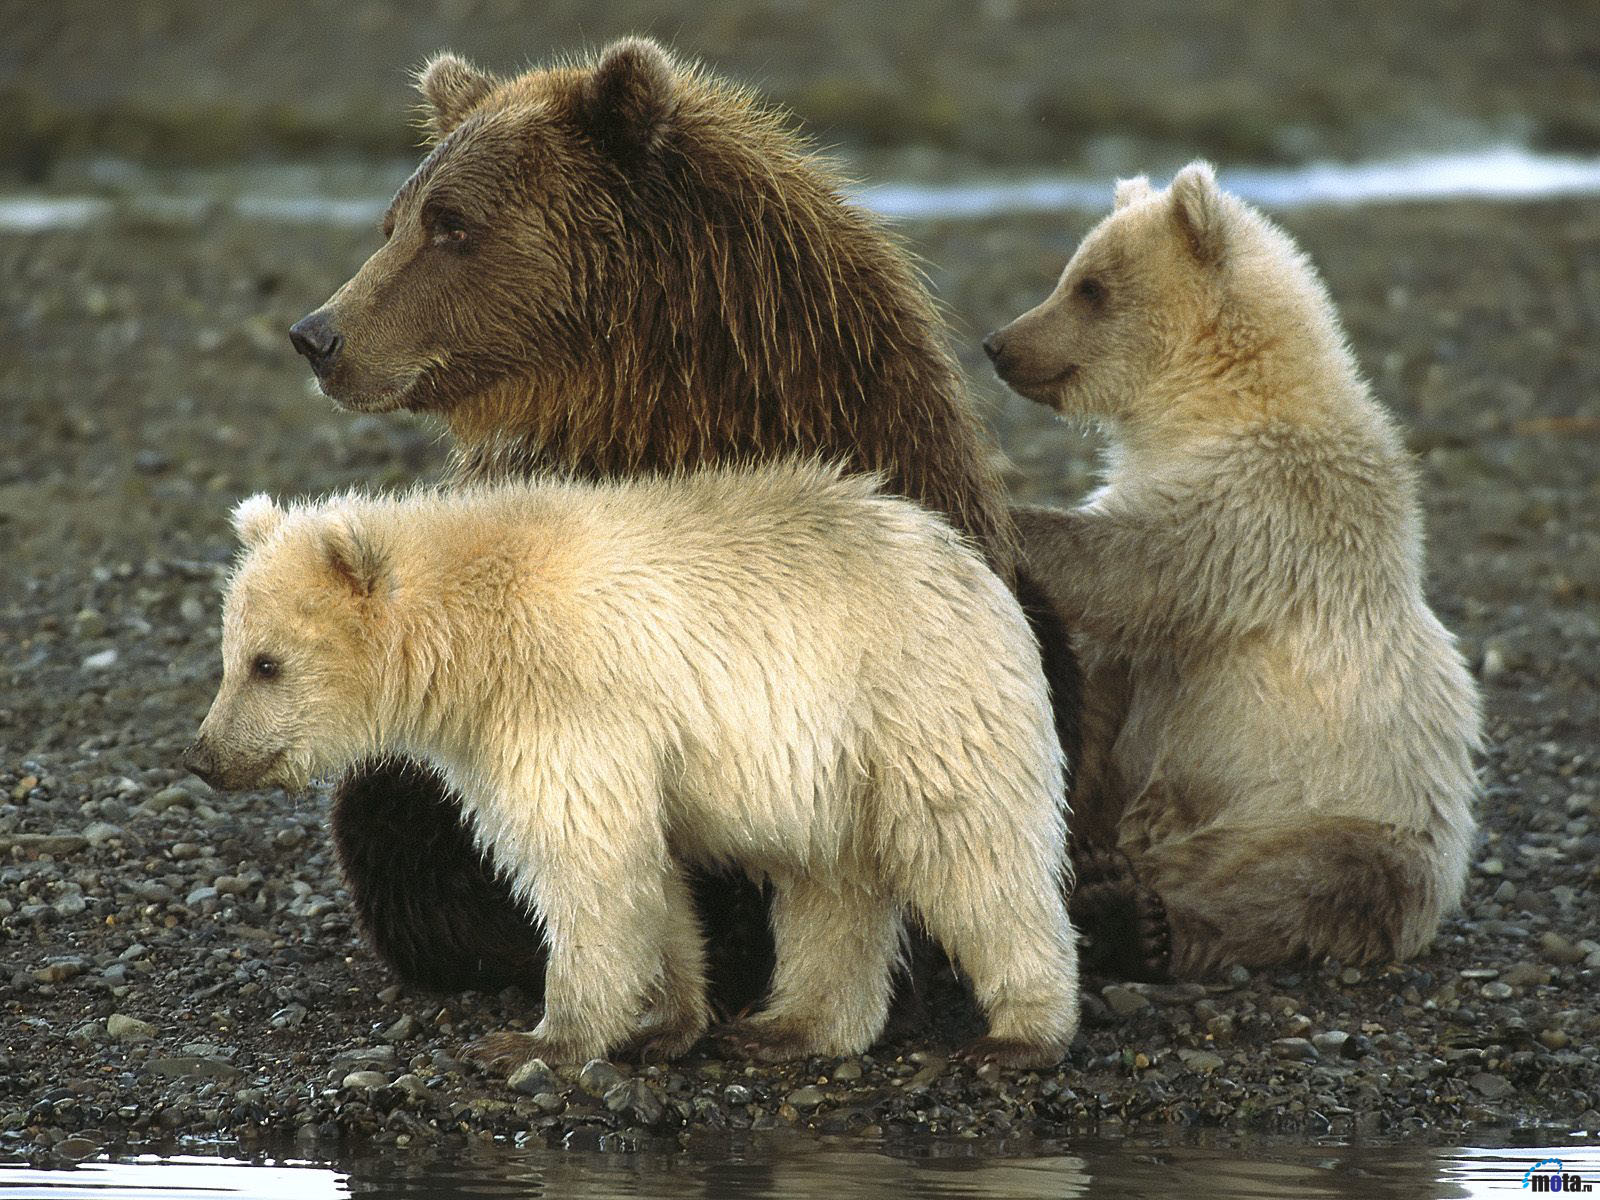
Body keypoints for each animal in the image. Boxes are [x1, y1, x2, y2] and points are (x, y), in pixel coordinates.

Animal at [190, 470, 1088, 1068]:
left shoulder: (569, 704)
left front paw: (538, 1038)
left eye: (267, 664)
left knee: (976, 859)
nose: (205, 755)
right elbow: (645, 874)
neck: (473, 648)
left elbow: (586, 862)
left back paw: (1021, 1034)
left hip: (916, 707)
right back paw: (792, 1025)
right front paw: (664, 1019)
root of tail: (973, 565)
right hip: (833, 768)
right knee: (833, 885)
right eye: (230, 656)